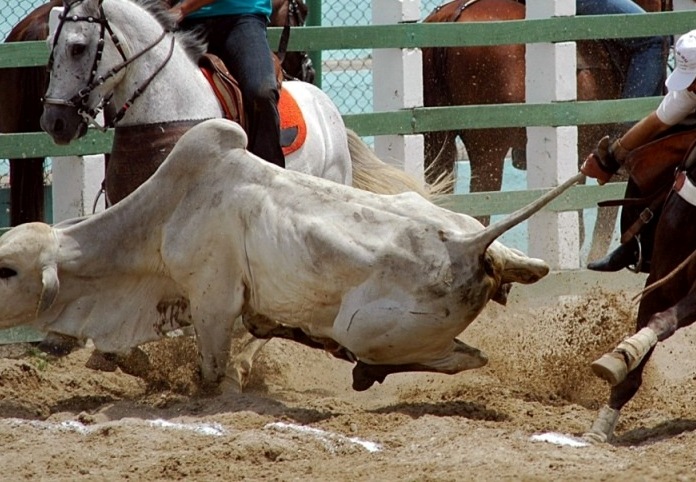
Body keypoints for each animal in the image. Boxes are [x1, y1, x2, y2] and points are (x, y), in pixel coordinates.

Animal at [0, 118, 580, 390]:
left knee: (460, 358)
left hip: (365, 328)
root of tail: (469, 244)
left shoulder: (212, 300)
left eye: (6, 269)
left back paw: (361, 368)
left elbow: (213, 370)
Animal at [40, 0, 444, 390]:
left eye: (78, 47)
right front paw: (118, 354)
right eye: (50, 48)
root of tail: (324, 104)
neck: (169, 112)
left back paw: (243, 364)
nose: (54, 123)